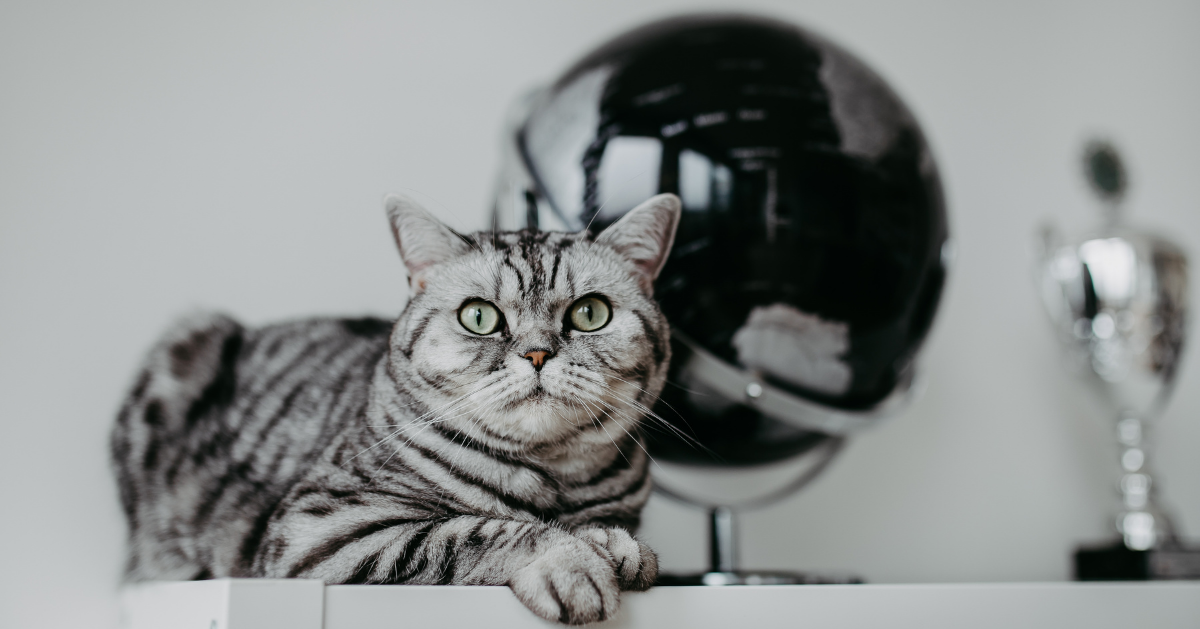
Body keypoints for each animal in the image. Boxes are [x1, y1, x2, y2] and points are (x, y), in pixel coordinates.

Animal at [113, 193, 686, 624]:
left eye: (590, 314)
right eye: (480, 317)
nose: (538, 353)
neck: (552, 481)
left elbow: (606, 532)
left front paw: (614, 544)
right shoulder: (318, 528)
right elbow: (472, 530)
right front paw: (570, 559)